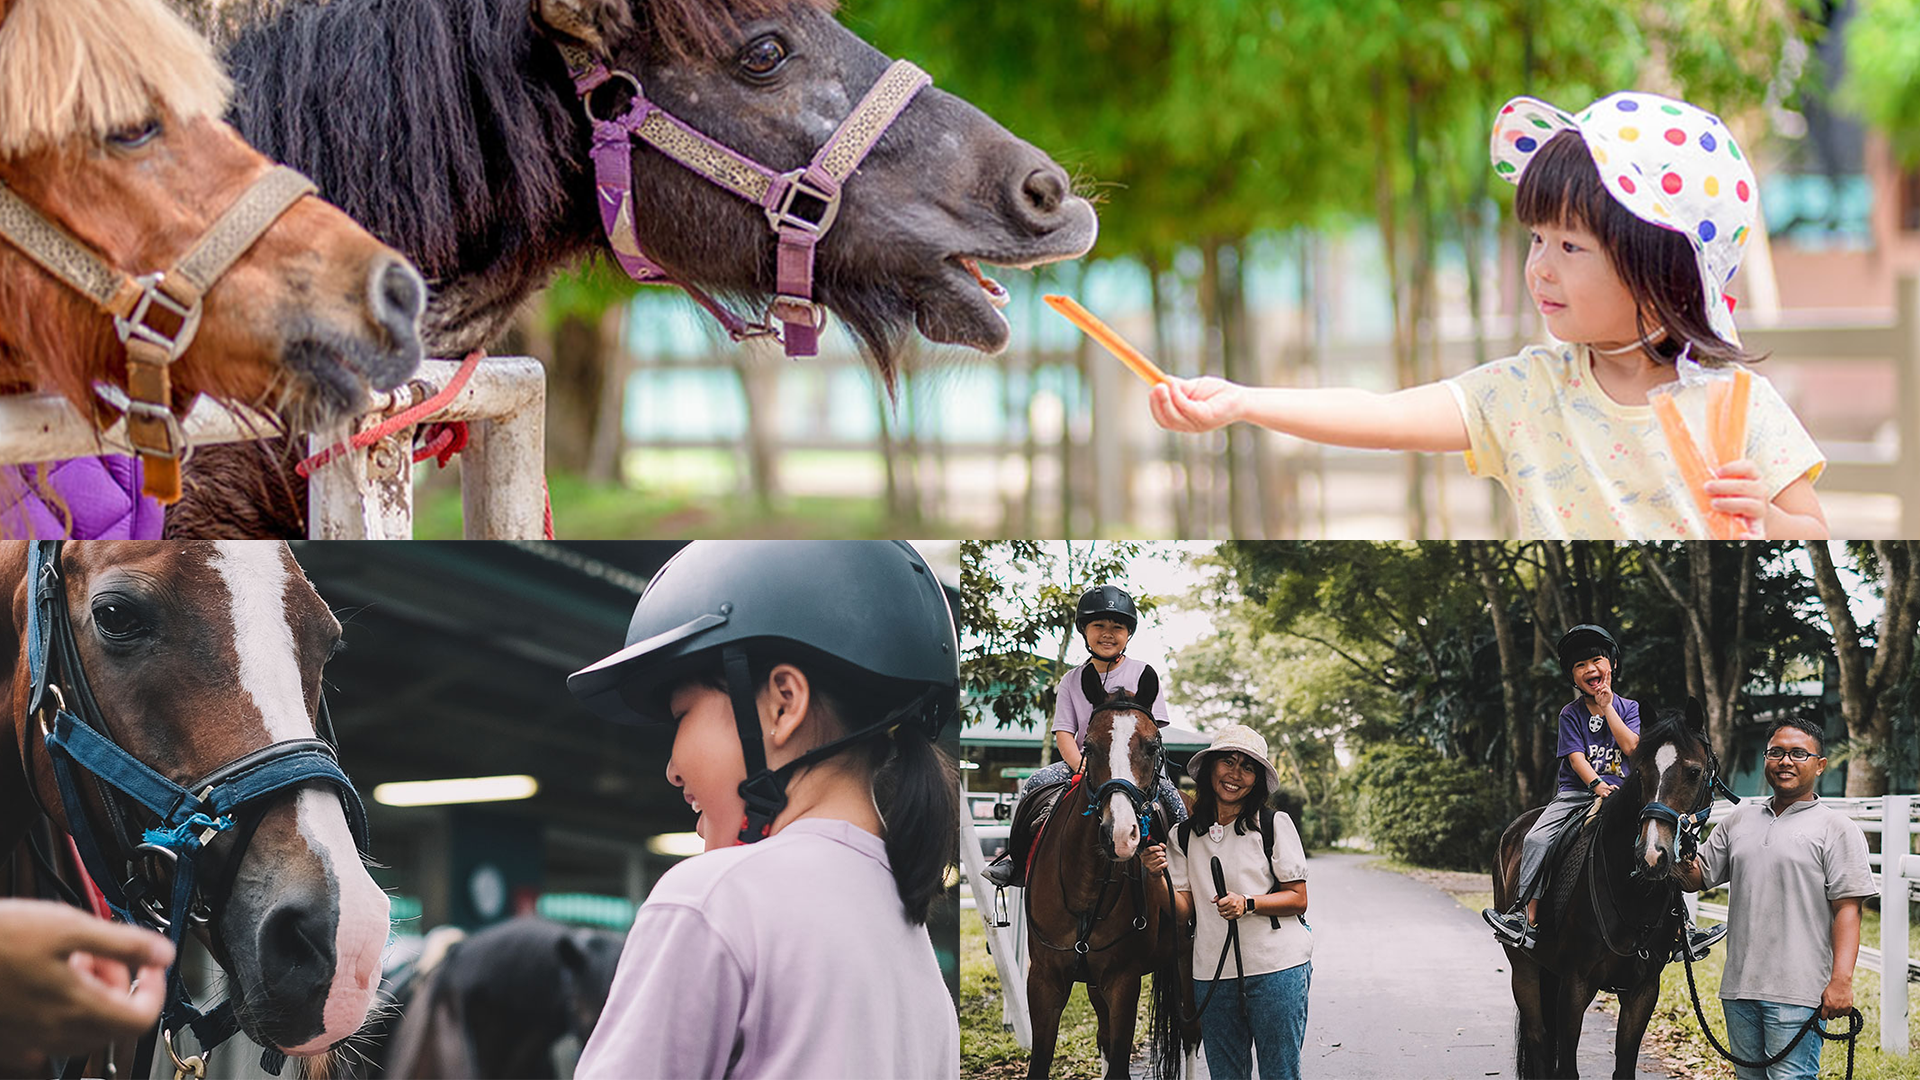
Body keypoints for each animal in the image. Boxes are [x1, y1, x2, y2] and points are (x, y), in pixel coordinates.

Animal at [1029, 664, 1190, 1076]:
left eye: (1152, 746)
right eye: (1089, 747)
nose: (1119, 834)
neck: (1085, 887)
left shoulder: (1123, 981)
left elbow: (1118, 1063)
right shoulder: (1045, 979)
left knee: (1192, 1033)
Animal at [1489, 699, 1720, 1076]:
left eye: (1694, 772)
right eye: (1640, 773)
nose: (1652, 855)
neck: (1635, 896)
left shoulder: (1643, 990)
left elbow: (1624, 1066)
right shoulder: (1575, 985)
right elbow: (1566, 1067)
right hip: (1523, 968)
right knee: (1539, 1042)